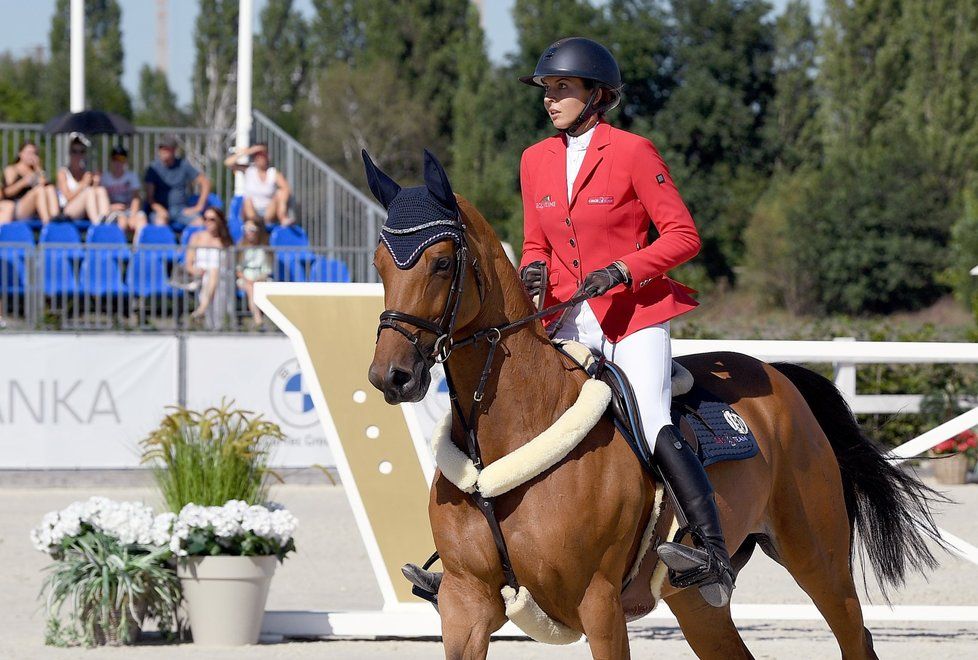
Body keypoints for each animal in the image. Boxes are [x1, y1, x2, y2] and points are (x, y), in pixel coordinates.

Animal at [364, 152, 936, 656]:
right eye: (378, 264)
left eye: (441, 263)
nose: (391, 377)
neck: (506, 442)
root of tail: (778, 376)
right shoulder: (465, 605)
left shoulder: (599, 606)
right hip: (696, 601)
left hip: (818, 559)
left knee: (855, 637)